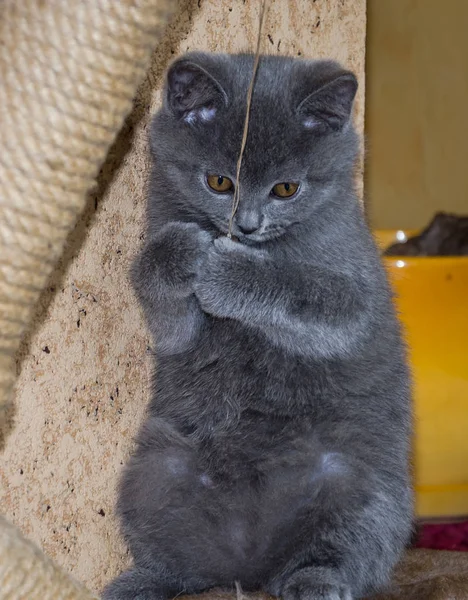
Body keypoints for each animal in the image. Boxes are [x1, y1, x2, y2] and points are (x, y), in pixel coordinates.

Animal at [103, 52, 414, 600]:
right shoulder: (175, 331)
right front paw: (180, 251)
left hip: (359, 485)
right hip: (157, 466)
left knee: (343, 552)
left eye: (286, 188)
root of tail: (249, 567)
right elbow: (164, 304)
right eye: (219, 182)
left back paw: (314, 582)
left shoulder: (357, 293)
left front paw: (229, 273)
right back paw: (137, 584)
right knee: (178, 566)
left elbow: (305, 292)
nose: (245, 225)